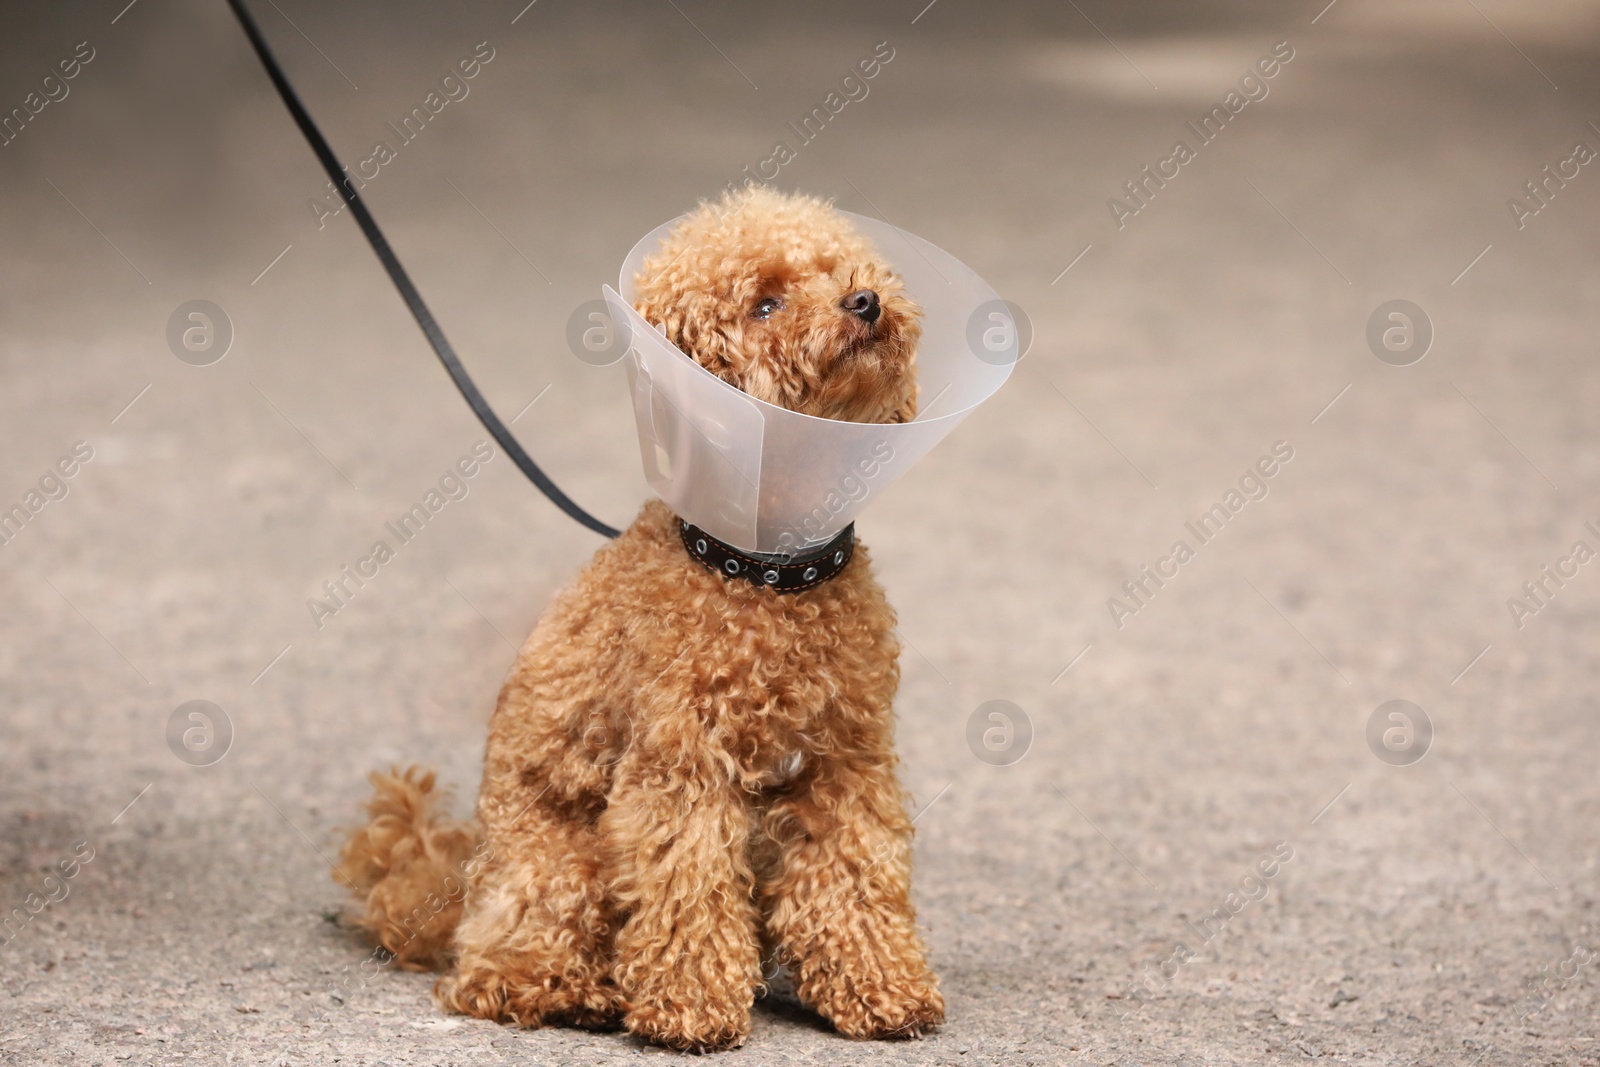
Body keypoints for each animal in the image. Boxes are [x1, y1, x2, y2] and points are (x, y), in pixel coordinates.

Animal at [334, 185, 934, 1049]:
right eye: (765, 303)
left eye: (836, 268)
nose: (864, 300)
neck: (770, 573)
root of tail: (457, 890)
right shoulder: (680, 768)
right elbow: (688, 884)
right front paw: (691, 1008)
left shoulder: (846, 763)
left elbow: (854, 877)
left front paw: (883, 988)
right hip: (557, 870)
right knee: (490, 975)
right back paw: (582, 993)